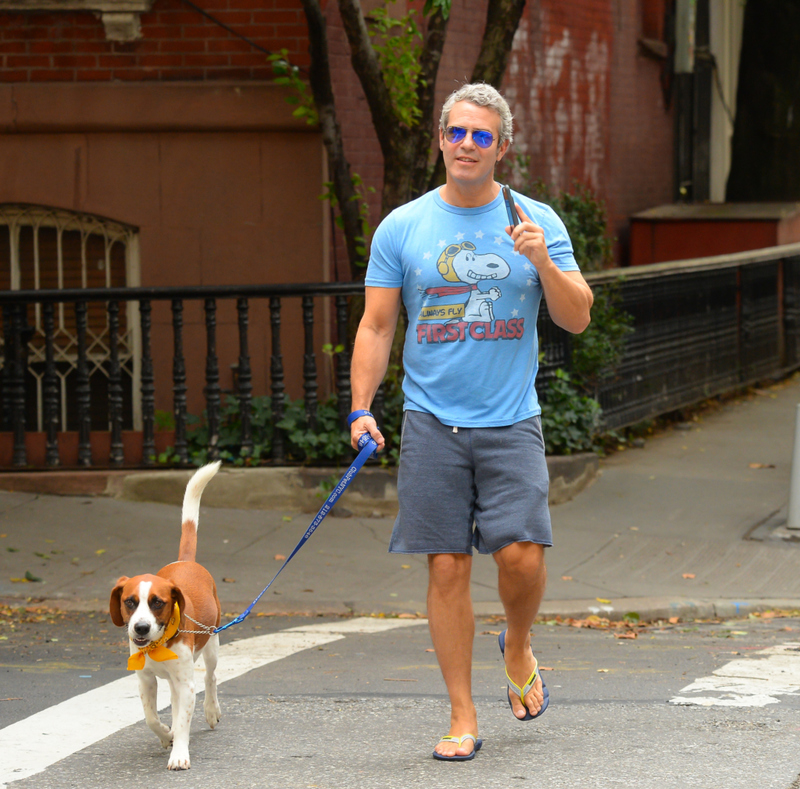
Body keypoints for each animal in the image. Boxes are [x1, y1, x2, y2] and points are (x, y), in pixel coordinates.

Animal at [109, 462, 222, 768]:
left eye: (157, 602)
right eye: (130, 602)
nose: (141, 628)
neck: (158, 644)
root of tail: (186, 561)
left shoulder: (186, 683)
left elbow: (183, 720)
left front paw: (179, 753)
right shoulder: (145, 681)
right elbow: (150, 718)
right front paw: (166, 736)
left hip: (212, 643)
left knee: (210, 678)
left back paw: (211, 710)